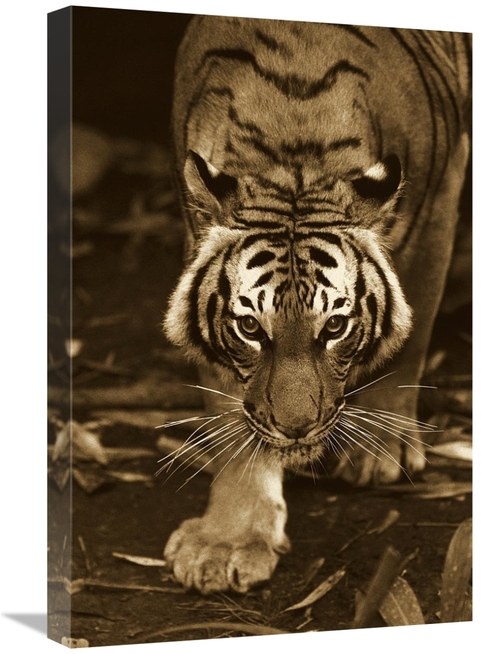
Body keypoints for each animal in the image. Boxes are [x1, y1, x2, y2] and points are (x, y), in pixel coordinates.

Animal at [161, 15, 471, 595]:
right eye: (249, 327)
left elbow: (408, 335)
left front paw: (382, 449)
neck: (292, 157)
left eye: (335, 326)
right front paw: (227, 542)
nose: (296, 428)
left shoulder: (440, 195)